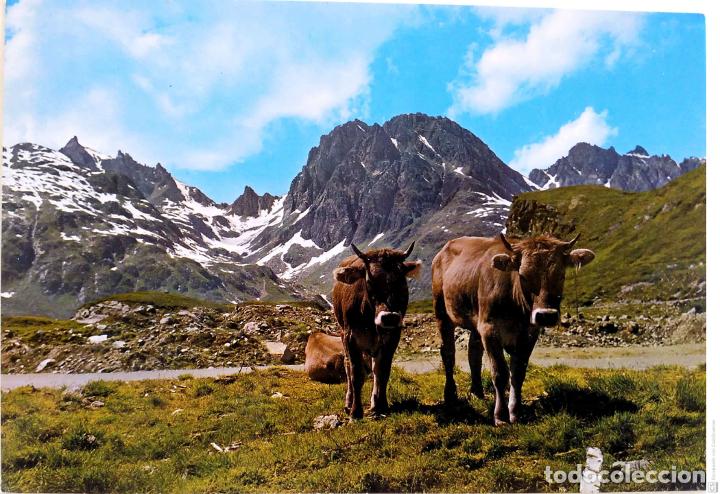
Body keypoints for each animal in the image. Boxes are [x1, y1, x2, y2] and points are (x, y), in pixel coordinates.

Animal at [332, 242, 422, 419]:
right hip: (342, 333)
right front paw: (355, 412)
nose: (390, 317)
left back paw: (374, 403)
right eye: (369, 281)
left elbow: (383, 372)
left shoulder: (392, 337)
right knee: (347, 366)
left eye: (402, 281)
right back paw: (348, 403)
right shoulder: (351, 337)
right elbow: (356, 374)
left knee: (374, 369)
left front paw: (382, 406)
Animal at [432, 233, 595, 426]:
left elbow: (518, 373)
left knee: (474, 353)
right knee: (448, 353)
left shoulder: (528, 333)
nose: (546, 315)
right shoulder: (490, 329)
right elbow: (500, 373)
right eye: (523, 276)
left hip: (476, 321)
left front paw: (515, 412)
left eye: (561, 275)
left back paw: (477, 392)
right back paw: (450, 395)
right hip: (442, 312)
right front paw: (500, 416)